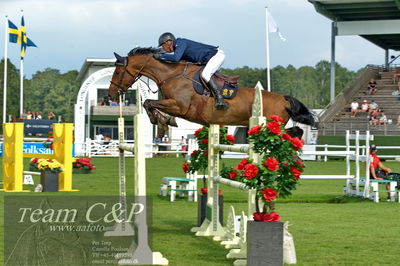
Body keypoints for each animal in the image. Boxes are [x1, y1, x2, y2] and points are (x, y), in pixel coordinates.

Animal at [108, 47, 316, 137]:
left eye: (117, 71)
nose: (110, 95)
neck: (171, 75)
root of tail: (284, 98)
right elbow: (149, 104)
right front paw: (163, 122)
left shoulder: (180, 107)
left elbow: (148, 103)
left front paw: (161, 121)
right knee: (294, 131)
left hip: (270, 125)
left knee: (293, 132)